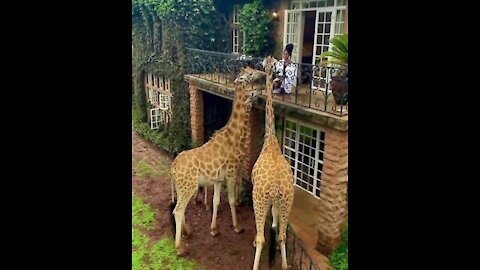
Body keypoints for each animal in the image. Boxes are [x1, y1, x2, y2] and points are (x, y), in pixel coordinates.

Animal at [169, 65, 266, 255]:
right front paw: (237, 227)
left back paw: (187, 232)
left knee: (180, 209)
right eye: (250, 74)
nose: (264, 75)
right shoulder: (231, 173)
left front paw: (214, 229)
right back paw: (179, 247)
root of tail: (173, 168)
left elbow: (215, 202)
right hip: (188, 186)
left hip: (183, 188)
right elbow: (232, 200)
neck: (234, 136)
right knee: (178, 211)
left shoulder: (218, 179)